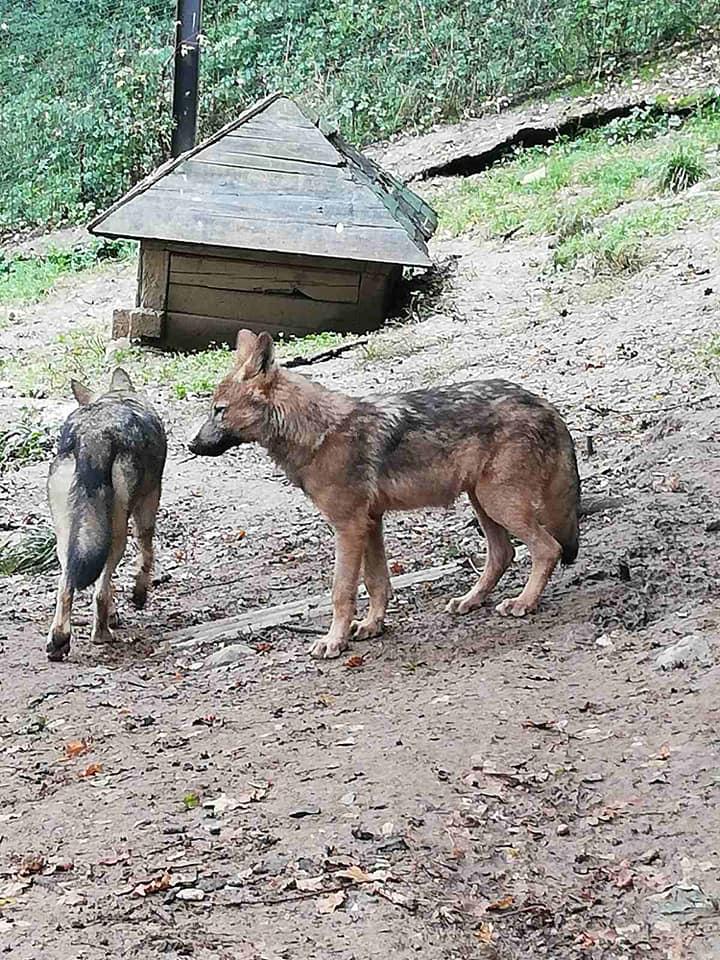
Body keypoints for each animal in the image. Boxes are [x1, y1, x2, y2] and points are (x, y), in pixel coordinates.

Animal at [45, 368, 167, 660]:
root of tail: (94, 436)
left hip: (68, 538)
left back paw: (59, 641)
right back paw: (102, 635)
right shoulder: (149, 504)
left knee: (66, 585)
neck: (117, 396)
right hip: (117, 535)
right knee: (98, 592)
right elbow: (146, 557)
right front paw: (138, 596)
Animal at [190, 332, 580, 660]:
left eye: (219, 410)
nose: (190, 445)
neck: (317, 435)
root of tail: (545, 404)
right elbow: (376, 583)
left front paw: (334, 642)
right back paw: (470, 601)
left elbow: (342, 591)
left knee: (548, 549)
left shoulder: (348, 527)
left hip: (500, 504)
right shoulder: (370, 522)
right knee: (503, 554)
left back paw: (523, 603)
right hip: (484, 504)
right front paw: (372, 626)